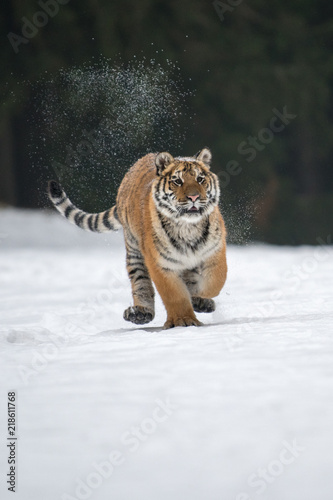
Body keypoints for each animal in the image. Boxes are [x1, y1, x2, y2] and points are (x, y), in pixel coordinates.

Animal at [47, 148, 226, 328]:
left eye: (200, 179)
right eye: (177, 181)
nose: (194, 197)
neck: (187, 227)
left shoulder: (215, 251)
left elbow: (216, 280)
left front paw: (200, 297)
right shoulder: (160, 264)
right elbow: (174, 295)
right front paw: (184, 320)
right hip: (134, 252)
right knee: (141, 282)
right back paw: (140, 312)